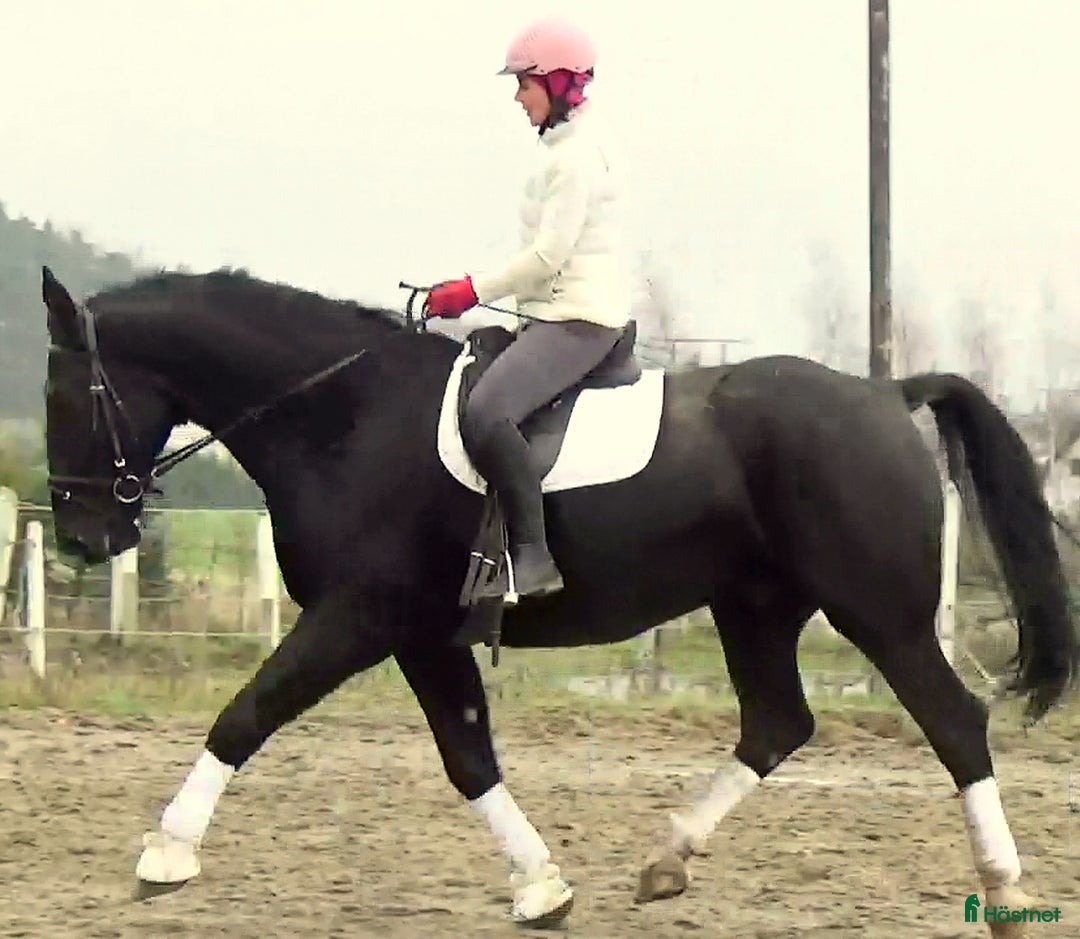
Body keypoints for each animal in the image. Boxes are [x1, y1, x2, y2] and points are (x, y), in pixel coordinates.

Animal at [40, 265, 1078, 935]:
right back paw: (666, 859)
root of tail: (886, 393)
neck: (345, 419)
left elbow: (244, 715)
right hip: (754, 606)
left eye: (63, 397)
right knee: (778, 723)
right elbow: (468, 756)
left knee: (954, 722)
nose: (84, 539)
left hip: (878, 612)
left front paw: (164, 856)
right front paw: (543, 887)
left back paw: (1004, 892)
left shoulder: (358, 615)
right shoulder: (424, 634)